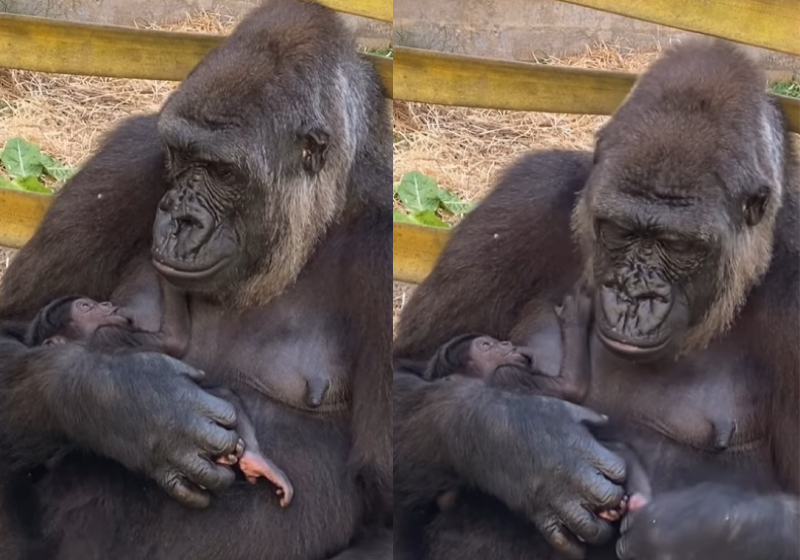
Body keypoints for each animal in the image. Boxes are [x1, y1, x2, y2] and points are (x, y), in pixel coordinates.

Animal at [27, 288, 296, 508]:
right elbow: (172, 339)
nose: (106, 305)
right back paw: (253, 459)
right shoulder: (115, 333)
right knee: (222, 395)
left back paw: (253, 461)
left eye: (93, 303)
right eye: (85, 306)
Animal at [394, 39, 800, 560]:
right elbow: (404, 372)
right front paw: (524, 447)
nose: (632, 296)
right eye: (621, 230)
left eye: (677, 244)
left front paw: (690, 528)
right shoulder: (526, 196)